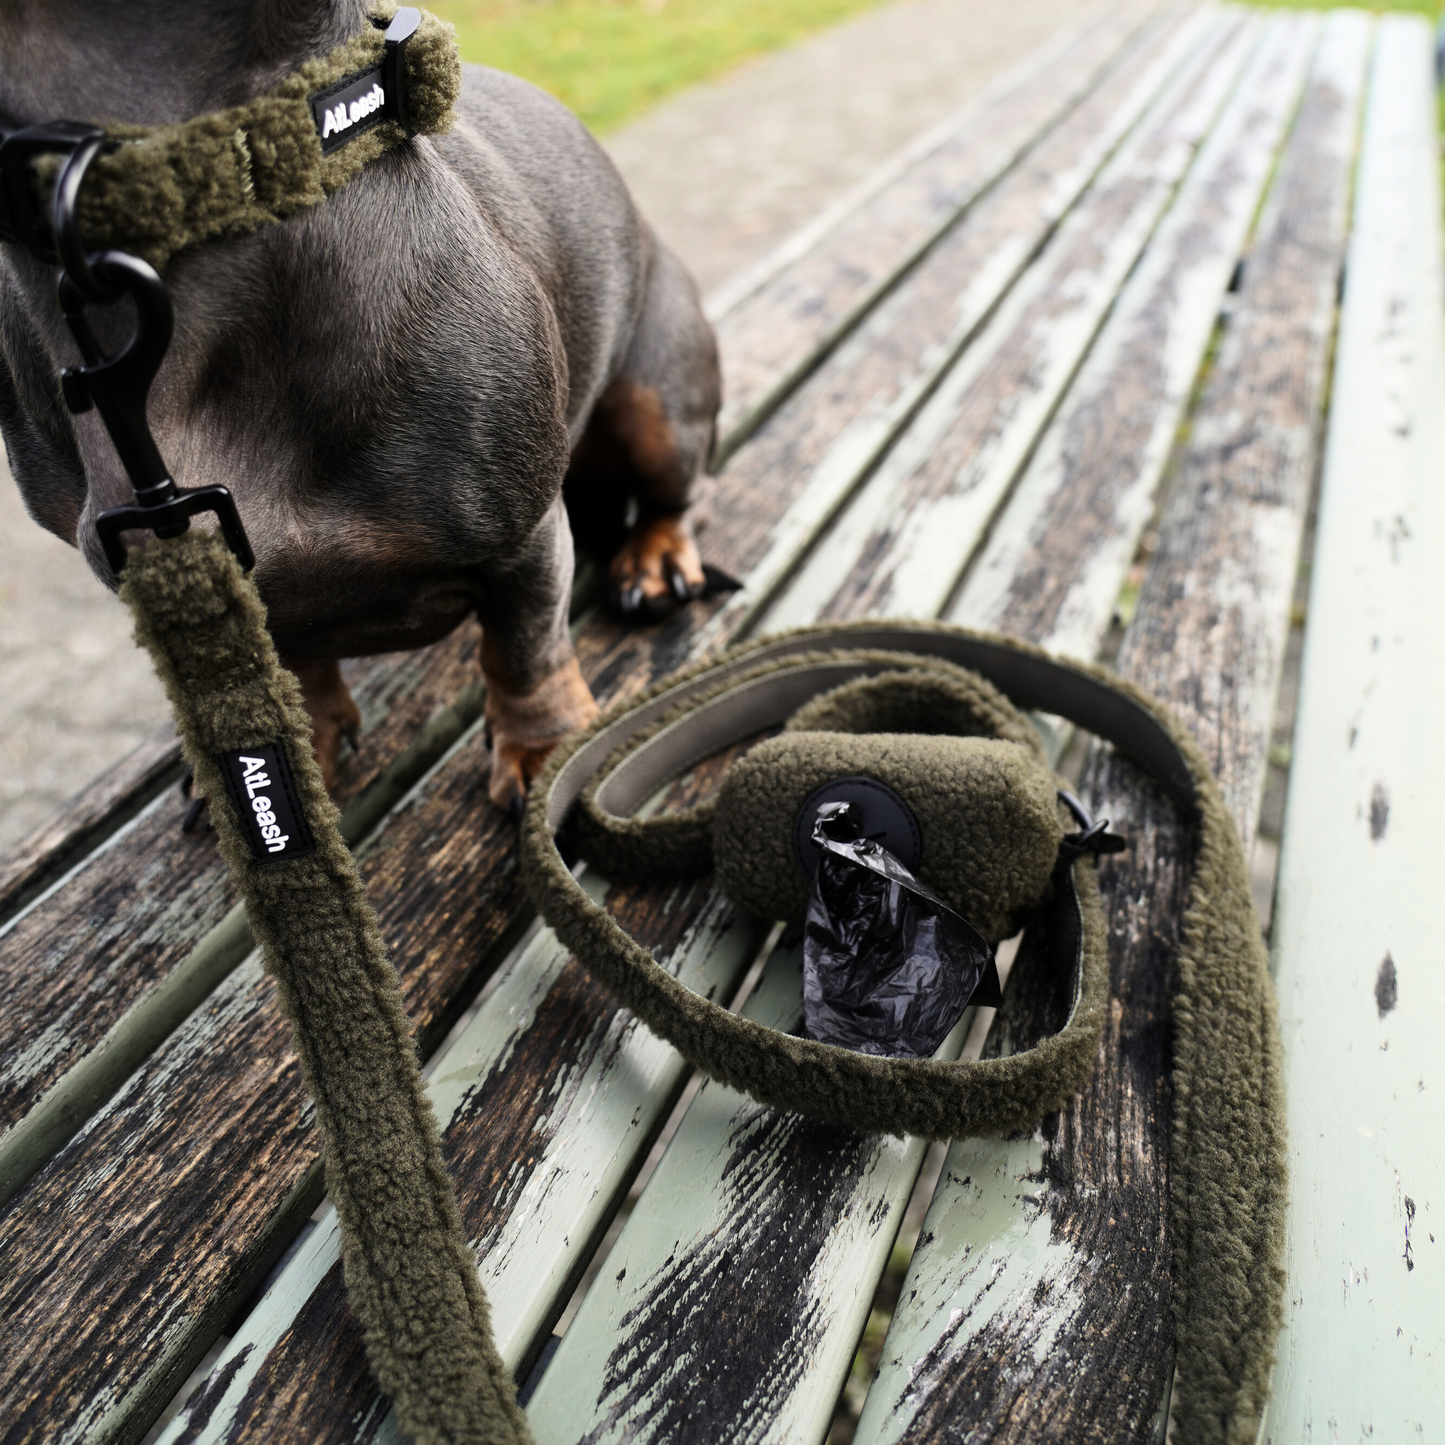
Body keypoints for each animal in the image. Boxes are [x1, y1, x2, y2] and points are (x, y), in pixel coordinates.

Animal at [0, 0, 722, 814]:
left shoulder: (525, 532)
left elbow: (525, 646)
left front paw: (546, 750)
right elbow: (296, 668)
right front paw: (295, 751)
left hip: (656, 406)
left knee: (681, 493)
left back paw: (655, 562)